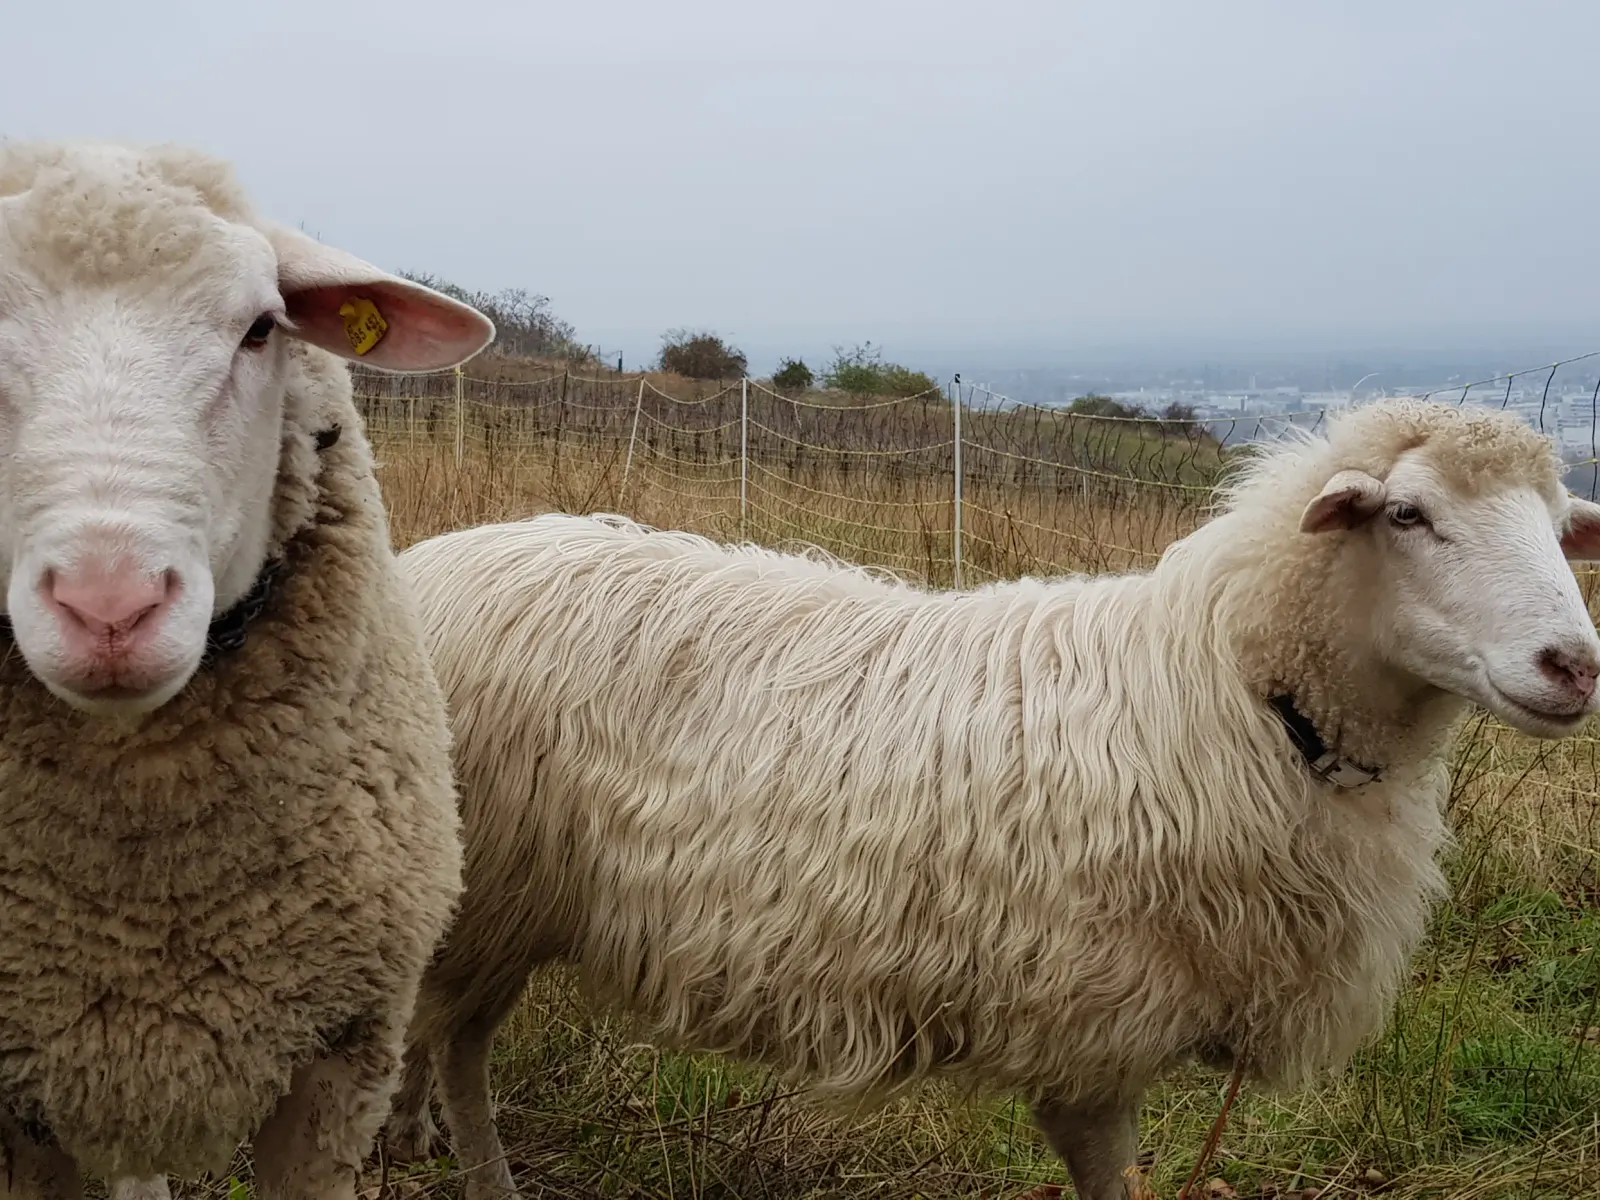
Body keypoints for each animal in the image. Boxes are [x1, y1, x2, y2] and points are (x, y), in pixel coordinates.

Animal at [386, 396, 1600, 1200]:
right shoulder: (1097, 1039)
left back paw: (424, 1143)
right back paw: (458, 1169)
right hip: (493, 887)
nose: (1575, 665)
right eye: (1408, 516)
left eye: (1557, 526)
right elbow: (1109, 1179)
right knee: (449, 1042)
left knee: (430, 1025)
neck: (1232, 691)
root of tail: (425, 567)